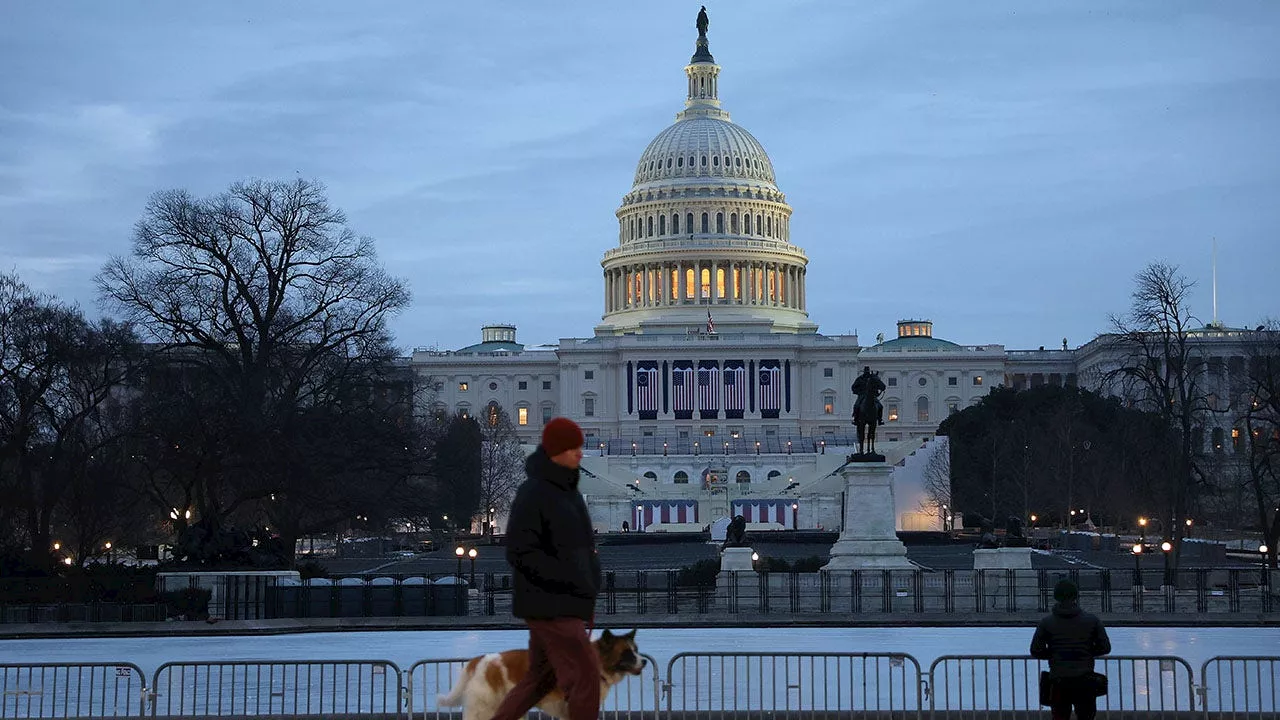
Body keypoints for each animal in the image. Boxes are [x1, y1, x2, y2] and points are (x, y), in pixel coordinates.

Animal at [440, 625, 650, 717]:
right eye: (627, 654)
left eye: (636, 650)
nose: (645, 661)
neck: (598, 662)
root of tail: (480, 659)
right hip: (485, 707)